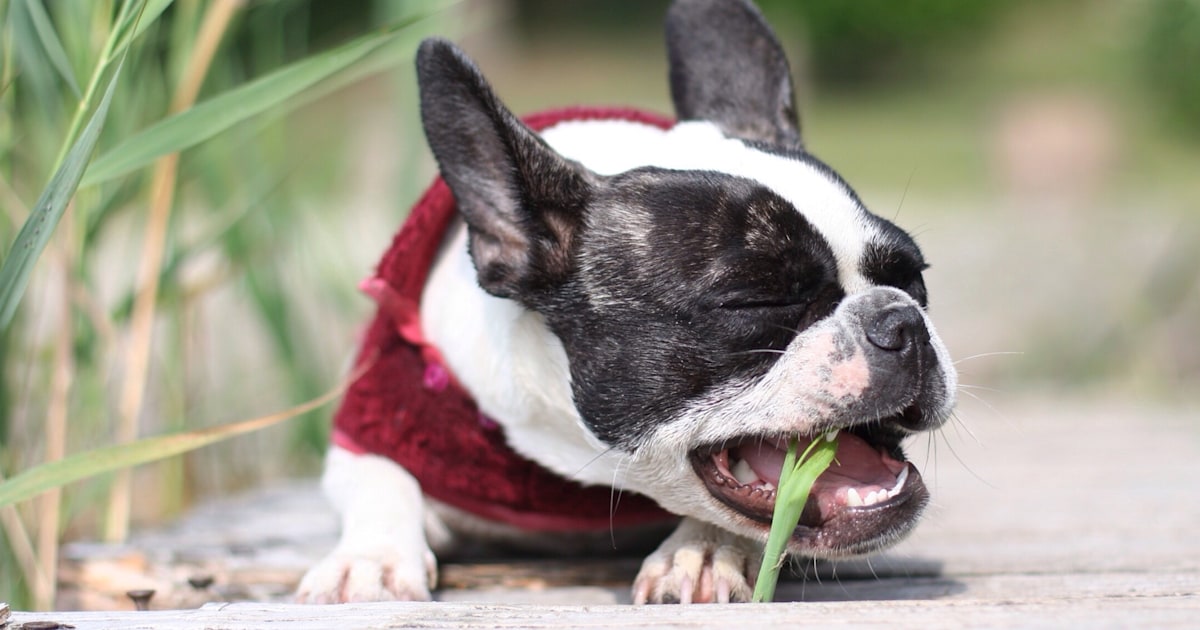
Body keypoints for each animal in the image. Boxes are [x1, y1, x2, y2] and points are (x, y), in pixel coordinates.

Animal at [297, 0, 955, 602]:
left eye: (914, 278)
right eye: (755, 302)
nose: (901, 323)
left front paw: (702, 551)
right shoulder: (377, 418)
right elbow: (380, 478)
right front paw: (370, 558)